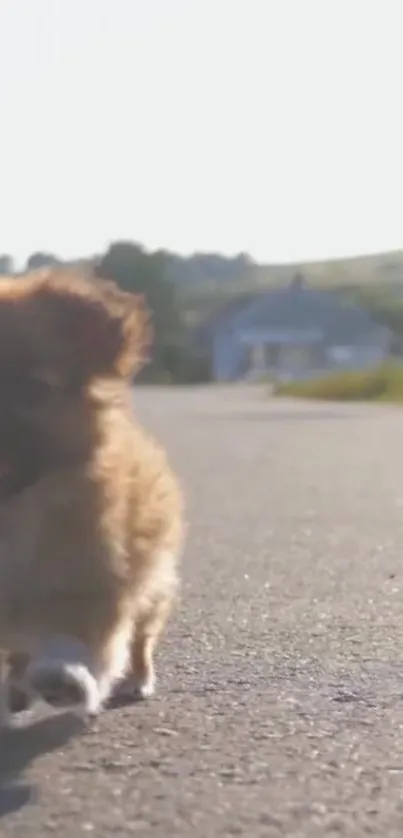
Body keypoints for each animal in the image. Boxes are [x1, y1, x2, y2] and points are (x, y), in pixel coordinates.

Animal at [0, 266, 185, 724]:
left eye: (33, 389)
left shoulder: (92, 579)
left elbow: (76, 636)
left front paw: (63, 677)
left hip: (152, 586)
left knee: (139, 640)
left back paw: (135, 680)